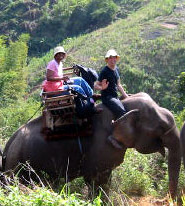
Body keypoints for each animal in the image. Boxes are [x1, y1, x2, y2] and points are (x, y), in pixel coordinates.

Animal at [1, 92, 181, 199]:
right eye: (161, 127)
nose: (168, 200)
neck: (122, 106)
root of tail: (8, 146)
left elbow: (104, 181)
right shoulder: (101, 147)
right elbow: (97, 181)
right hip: (19, 165)